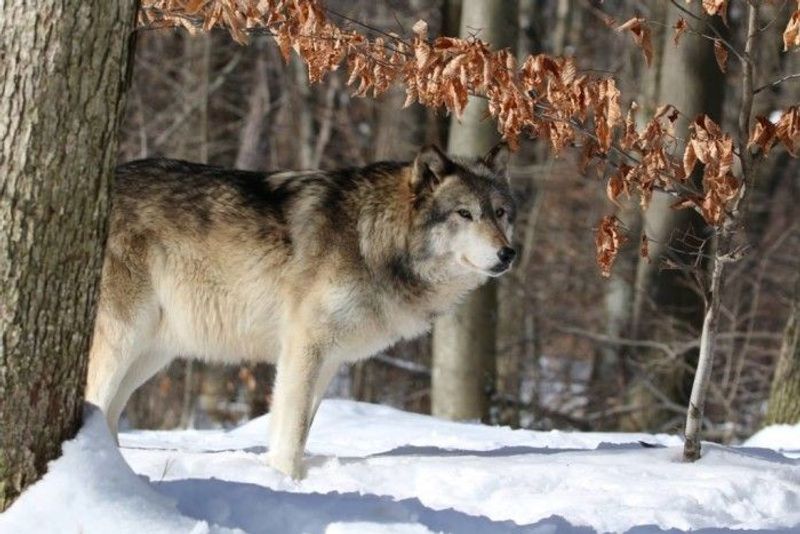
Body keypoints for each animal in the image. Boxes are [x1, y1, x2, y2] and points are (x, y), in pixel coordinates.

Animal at [86, 143, 516, 478]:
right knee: (95, 401)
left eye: (500, 213)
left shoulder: (330, 359)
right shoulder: (303, 346)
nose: (508, 253)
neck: (372, 239)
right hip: (124, 340)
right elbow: (291, 428)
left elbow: (300, 427)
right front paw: (286, 480)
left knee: (109, 413)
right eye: (464, 214)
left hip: (151, 354)